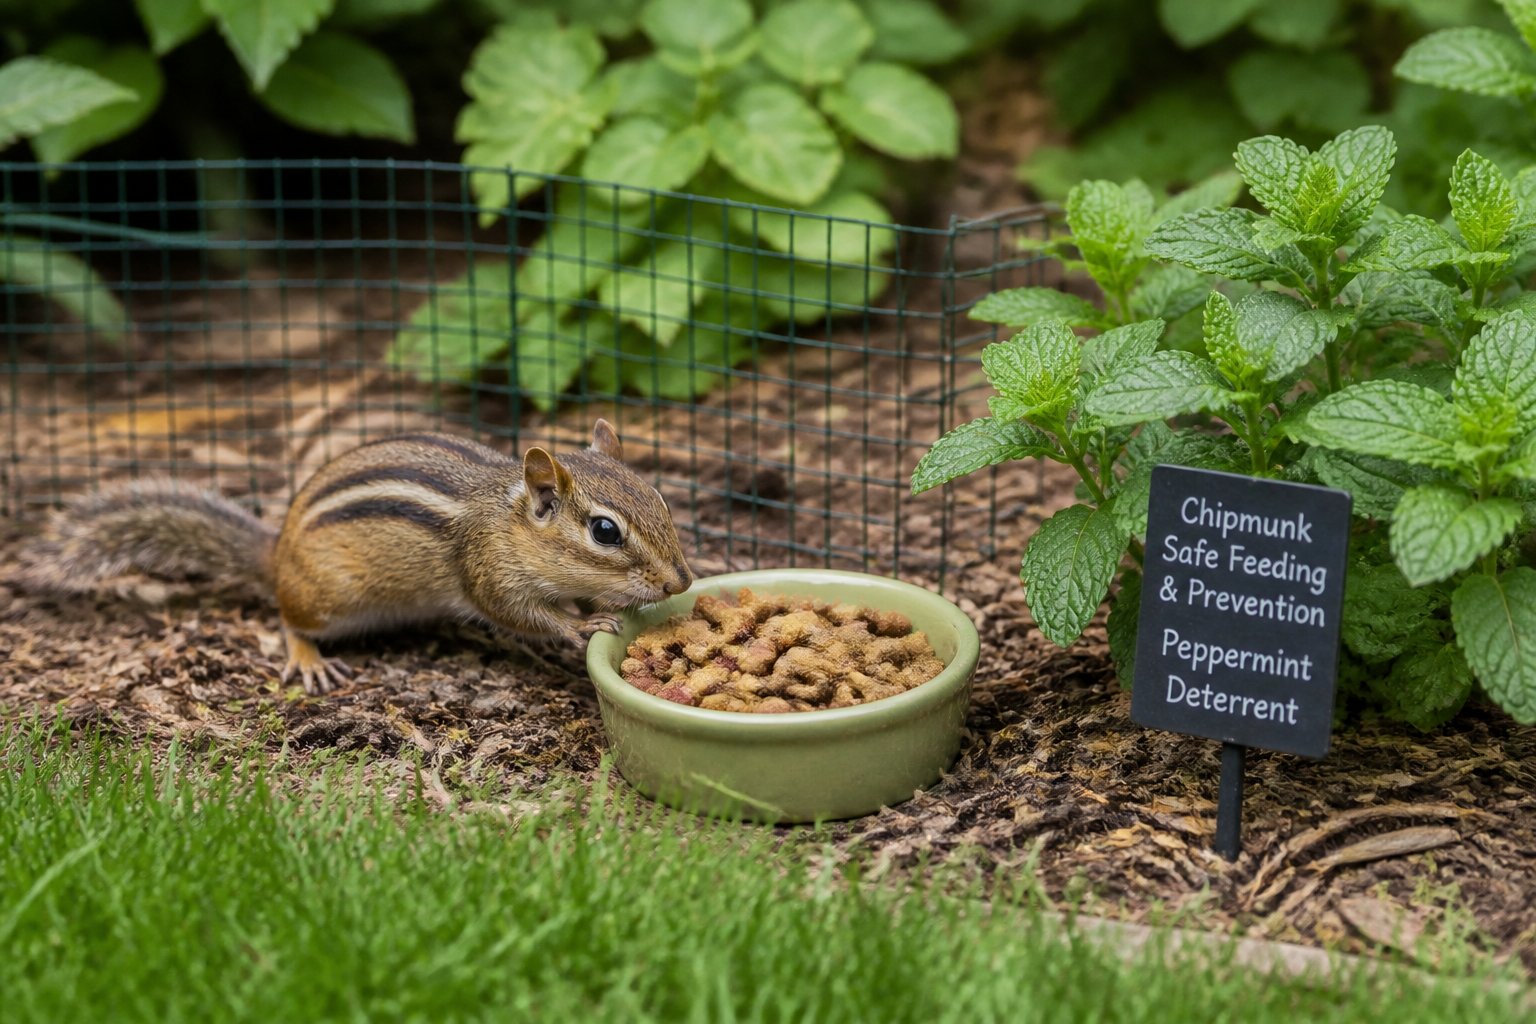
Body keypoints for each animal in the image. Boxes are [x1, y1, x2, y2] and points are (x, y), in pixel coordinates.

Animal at [26, 419, 694, 694]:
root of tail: (276, 554)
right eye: (605, 531)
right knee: (288, 618)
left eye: (661, 499)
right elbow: (525, 616)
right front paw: (582, 622)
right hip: (328, 597)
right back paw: (308, 658)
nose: (681, 583)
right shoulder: (488, 574)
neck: (503, 520)